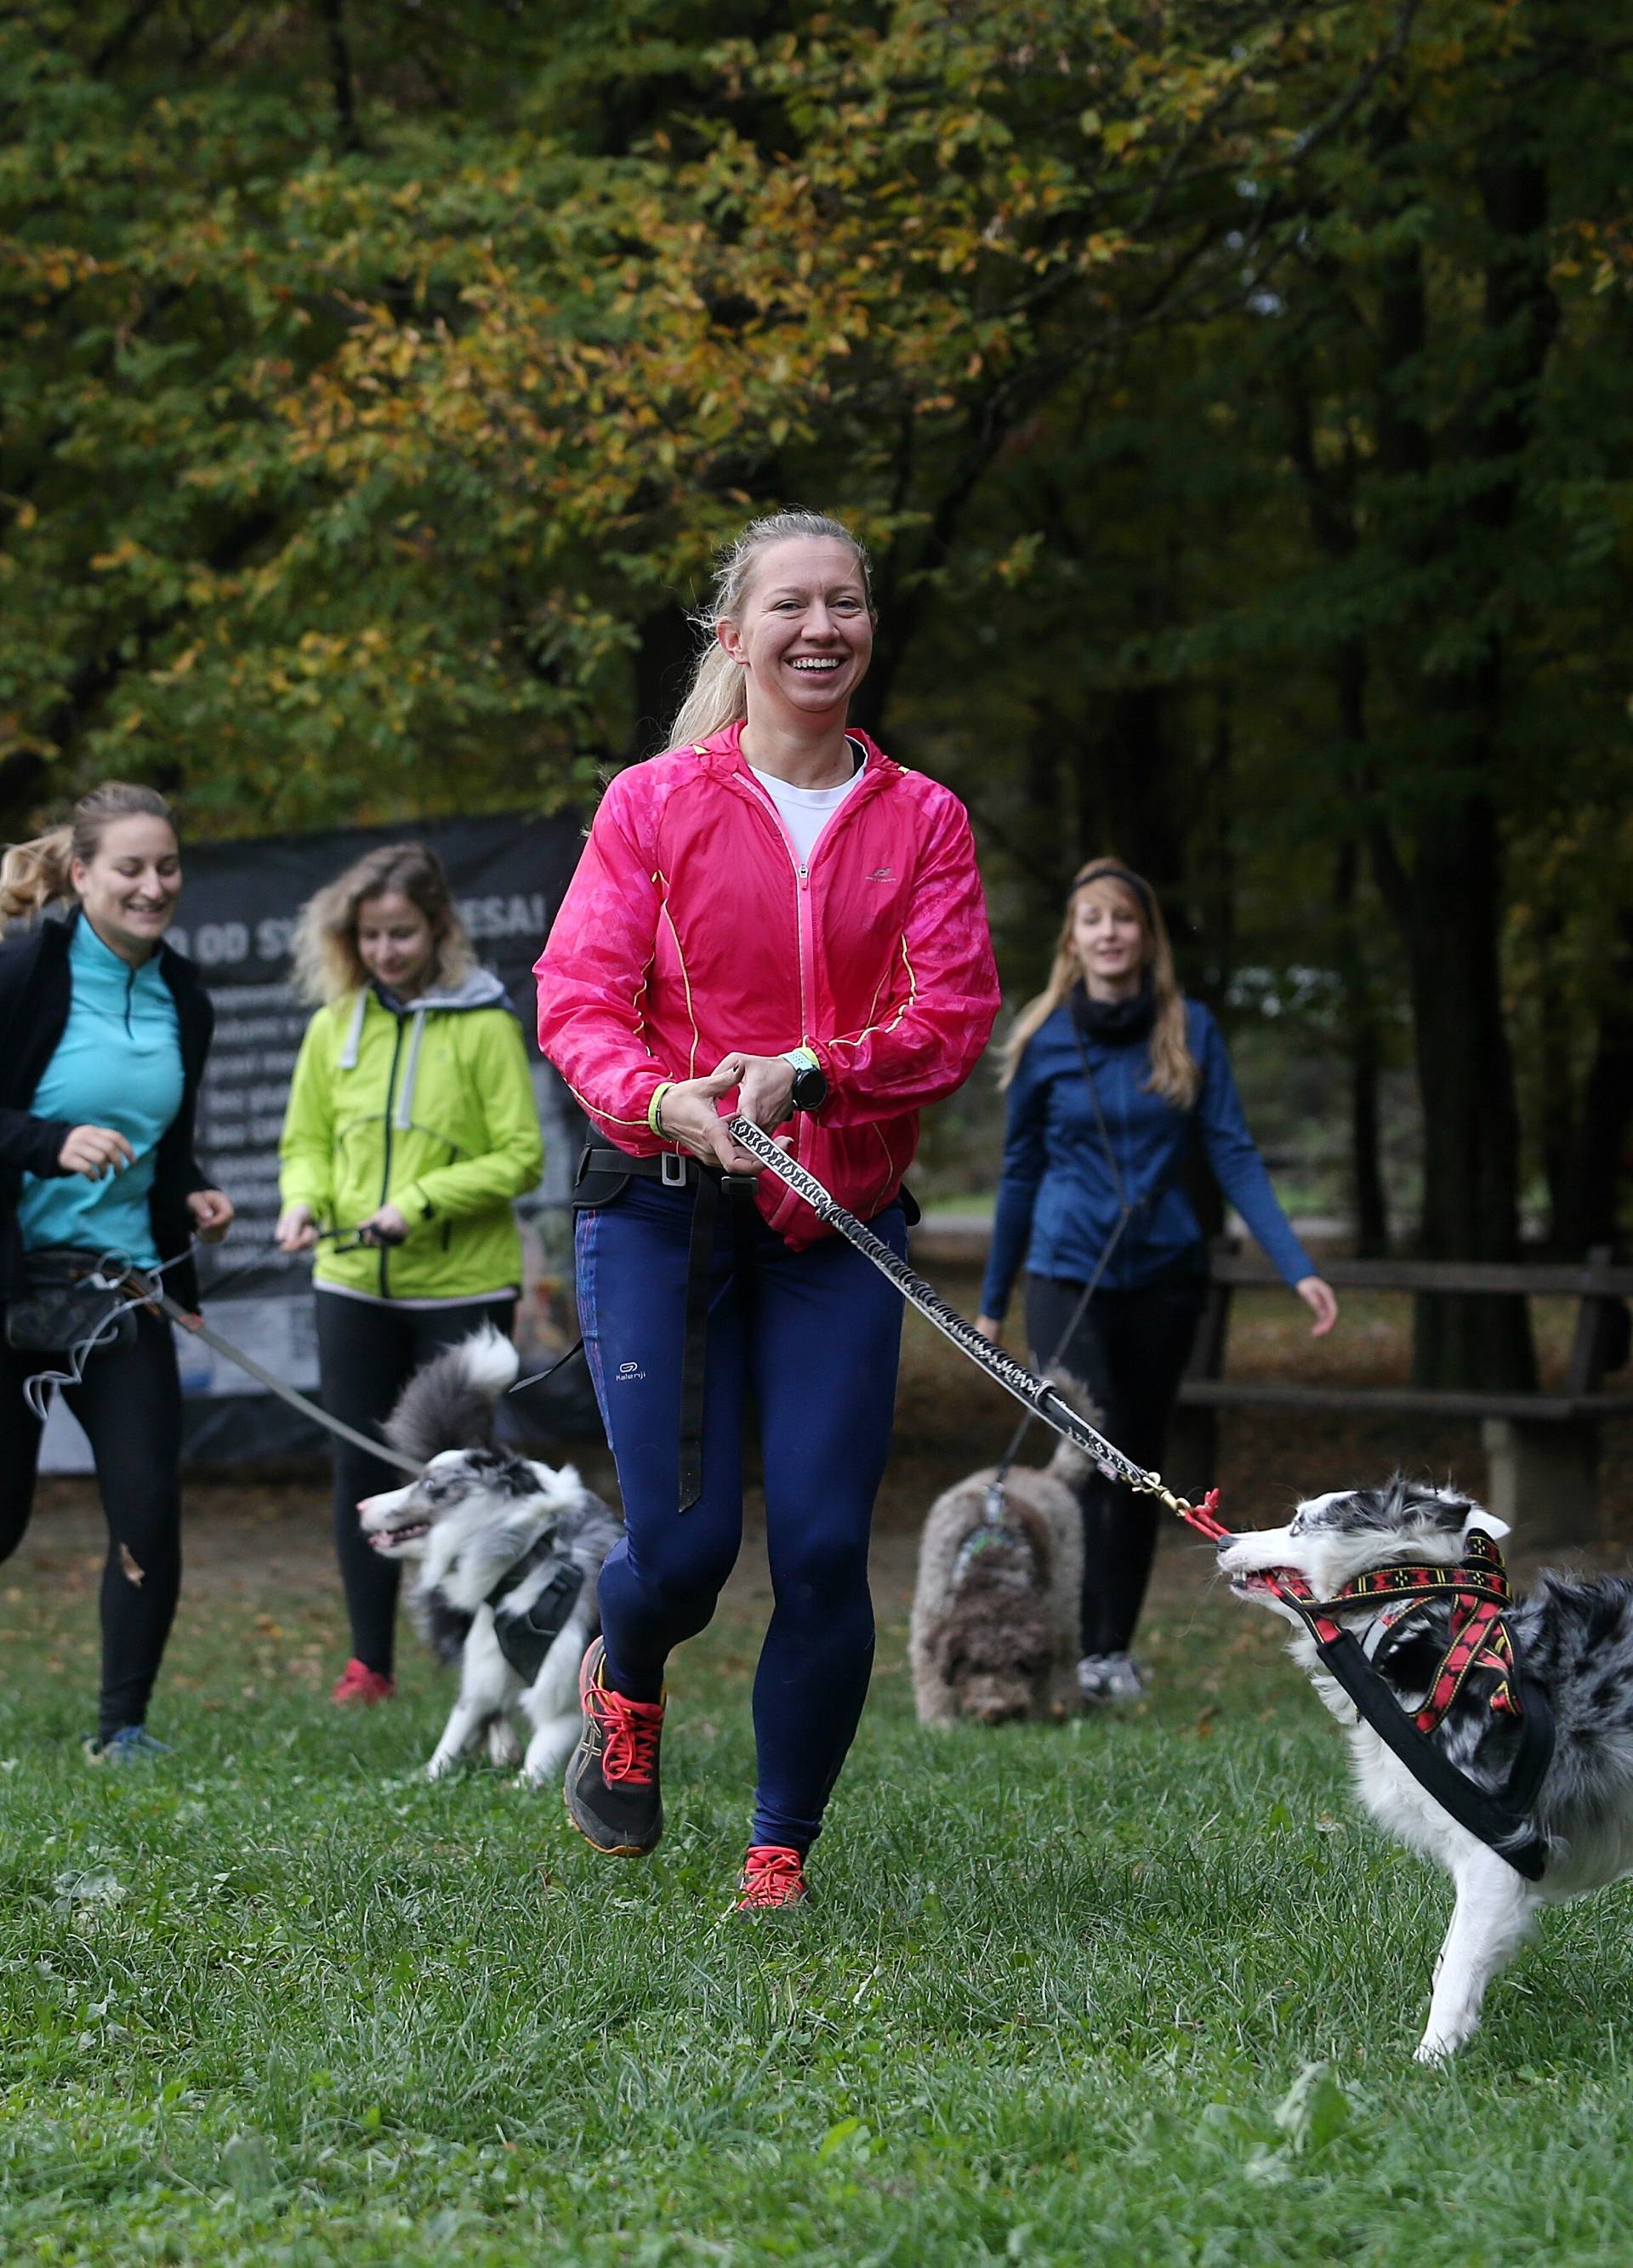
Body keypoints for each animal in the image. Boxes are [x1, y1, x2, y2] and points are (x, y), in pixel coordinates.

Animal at [358, 1324, 617, 1786]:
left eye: (430, 1485)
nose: (360, 1506)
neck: (525, 1562)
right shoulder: (483, 1661)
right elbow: (456, 1729)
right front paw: (425, 1778)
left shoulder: (562, 1698)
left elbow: (538, 1759)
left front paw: (523, 1786)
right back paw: (502, 1745)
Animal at [1215, 1479, 1633, 2068]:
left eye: (1299, 1525)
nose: (1225, 1540)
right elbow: (1451, 1958)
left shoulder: (1497, 1851)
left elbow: (1457, 1970)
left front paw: (1431, 2063)